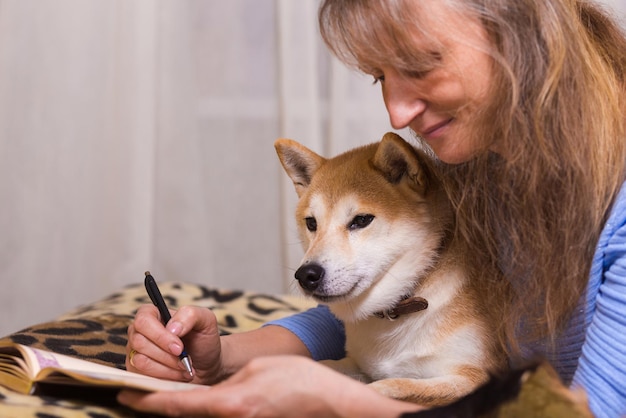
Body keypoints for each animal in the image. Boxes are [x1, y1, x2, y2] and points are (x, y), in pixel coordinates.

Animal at [276, 133, 504, 404]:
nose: (306, 275)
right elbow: (324, 365)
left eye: (362, 220)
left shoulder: (474, 376)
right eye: (311, 223)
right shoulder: (358, 363)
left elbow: (388, 386)